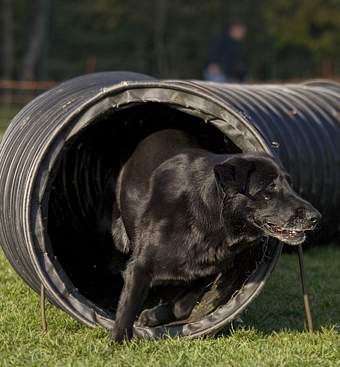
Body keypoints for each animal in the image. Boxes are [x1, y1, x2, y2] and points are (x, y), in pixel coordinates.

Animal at [99, 129, 322, 342]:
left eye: (290, 185)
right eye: (269, 189)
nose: (315, 217)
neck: (209, 216)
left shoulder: (206, 270)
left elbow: (182, 307)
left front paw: (153, 316)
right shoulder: (140, 267)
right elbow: (128, 307)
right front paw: (118, 342)